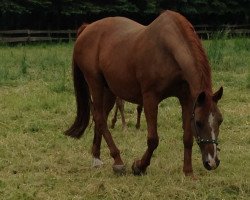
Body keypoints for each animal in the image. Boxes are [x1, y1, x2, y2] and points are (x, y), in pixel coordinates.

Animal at [65, 10, 224, 177]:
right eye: (199, 122)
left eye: (220, 120)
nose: (212, 162)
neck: (168, 51)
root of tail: (87, 28)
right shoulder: (150, 99)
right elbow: (153, 139)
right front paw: (140, 166)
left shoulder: (187, 100)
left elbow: (187, 137)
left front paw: (188, 172)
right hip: (95, 82)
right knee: (99, 118)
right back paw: (118, 160)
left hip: (108, 90)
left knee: (100, 116)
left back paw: (96, 157)